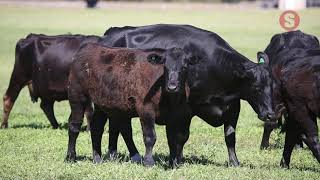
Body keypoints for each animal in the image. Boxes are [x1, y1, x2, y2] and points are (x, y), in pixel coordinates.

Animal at [101, 23, 276, 166]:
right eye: (256, 87)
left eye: (273, 86)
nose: (270, 115)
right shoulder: (185, 110)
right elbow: (179, 137)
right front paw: (175, 161)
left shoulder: (233, 107)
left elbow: (230, 136)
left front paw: (234, 162)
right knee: (121, 127)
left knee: (117, 126)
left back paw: (113, 154)